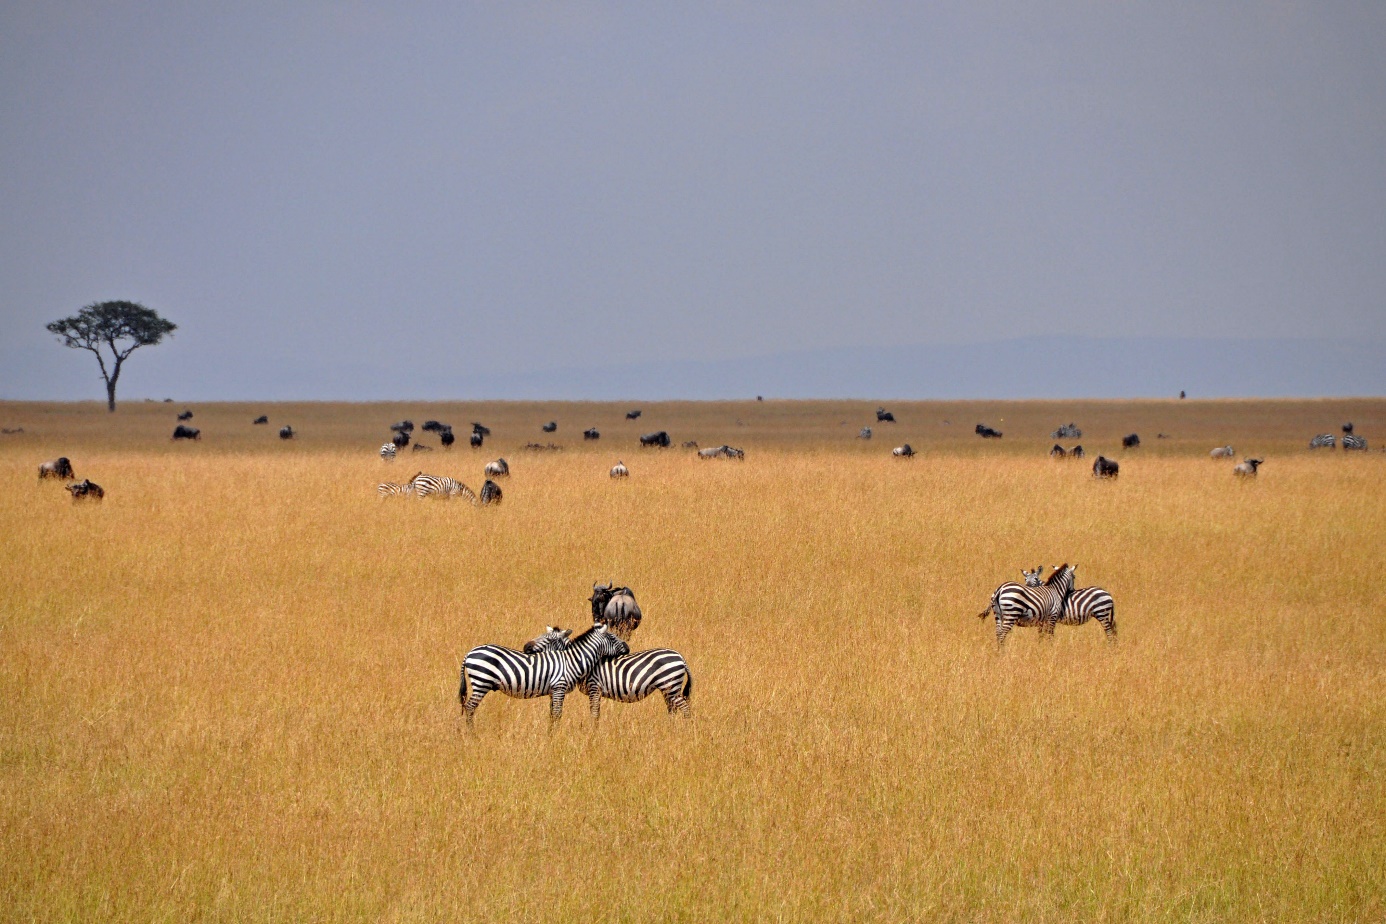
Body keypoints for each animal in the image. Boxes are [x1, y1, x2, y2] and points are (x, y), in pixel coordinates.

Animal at [457, 620, 632, 731]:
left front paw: (550, 735)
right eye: (612, 637)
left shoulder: (552, 691)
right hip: (481, 682)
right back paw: (472, 735)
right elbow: (558, 714)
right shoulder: (559, 687)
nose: (628, 647)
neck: (571, 660)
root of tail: (469, 653)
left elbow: (551, 714)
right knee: (470, 707)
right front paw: (556, 736)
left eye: (548, 639)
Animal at [521, 628, 693, 720]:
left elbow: (594, 714)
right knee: (673, 709)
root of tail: (681, 657)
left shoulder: (594, 688)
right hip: (668, 689)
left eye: (549, 640)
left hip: (670, 685)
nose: (525, 646)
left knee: (685, 709)